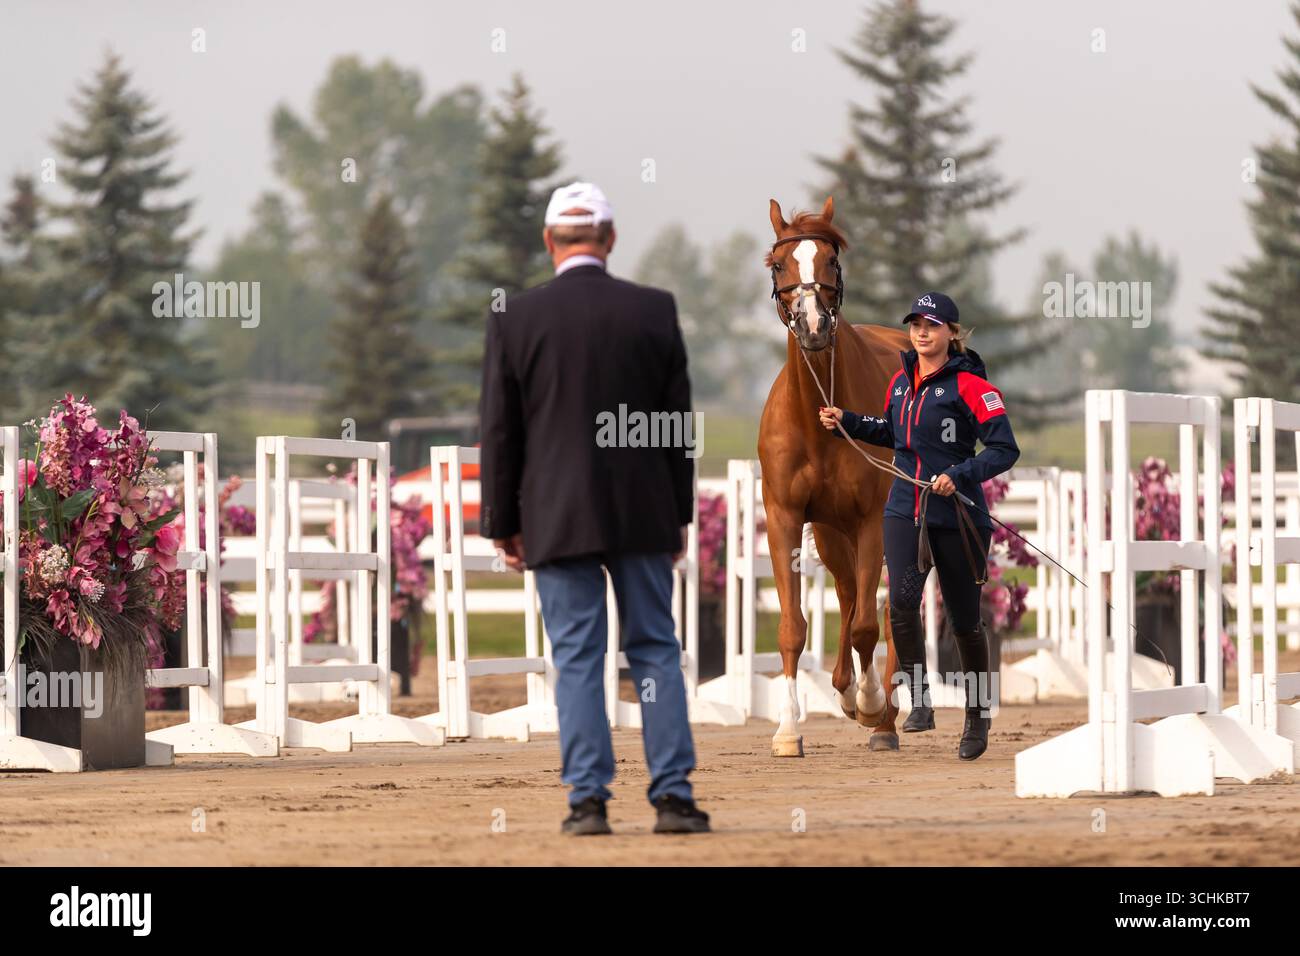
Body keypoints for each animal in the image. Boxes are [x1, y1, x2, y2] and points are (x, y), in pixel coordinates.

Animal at [757, 196, 912, 756]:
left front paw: (871, 703)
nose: (814, 325)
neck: (817, 416)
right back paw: (845, 689)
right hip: (829, 533)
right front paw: (787, 729)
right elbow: (793, 628)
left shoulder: (871, 522)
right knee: (847, 596)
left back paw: (881, 716)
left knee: (883, 610)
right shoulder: (785, 517)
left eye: (831, 259)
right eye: (779, 264)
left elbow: (868, 624)